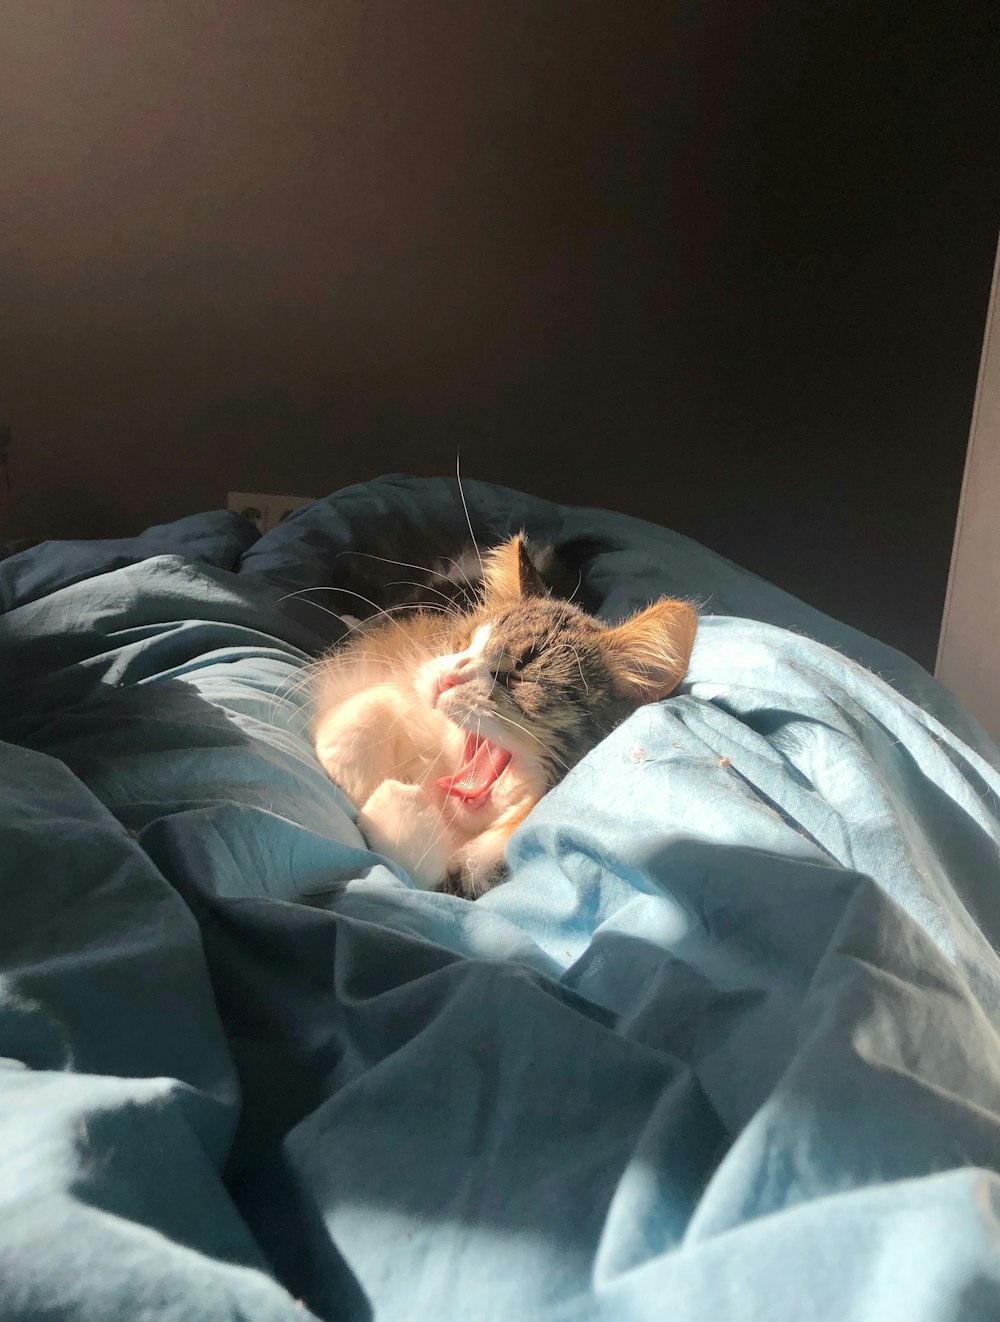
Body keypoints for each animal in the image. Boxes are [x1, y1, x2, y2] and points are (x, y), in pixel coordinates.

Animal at [312, 536, 693, 898]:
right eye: (463, 644)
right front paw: (359, 781)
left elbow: (420, 863)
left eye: (520, 675)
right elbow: (359, 716)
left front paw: (390, 795)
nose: (445, 678)